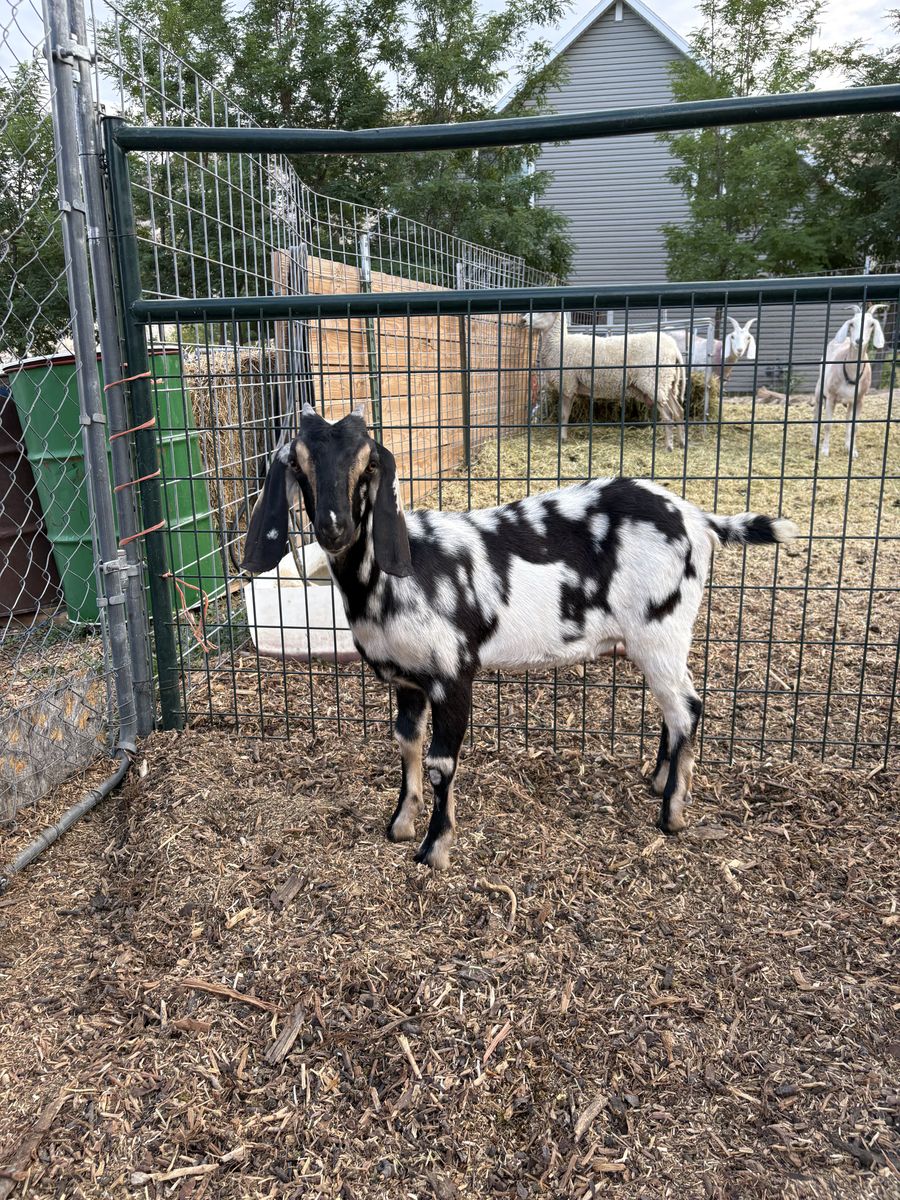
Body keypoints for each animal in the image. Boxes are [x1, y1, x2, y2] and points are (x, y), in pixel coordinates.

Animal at [242, 404, 799, 870]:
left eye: (368, 464)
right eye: (299, 465)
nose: (333, 528)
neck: (400, 570)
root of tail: (699, 520)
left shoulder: (453, 673)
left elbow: (442, 763)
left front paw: (435, 850)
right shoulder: (406, 680)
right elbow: (406, 744)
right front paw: (400, 824)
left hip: (662, 628)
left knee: (687, 707)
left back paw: (672, 814)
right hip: (654, 643)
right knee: (675, 706)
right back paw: (660, 781)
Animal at [522, 312, 686, 451]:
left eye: (544, 311)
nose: (523, 320)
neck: (558, 343)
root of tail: (675, 349)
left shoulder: (567, 384)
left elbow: (563, 414)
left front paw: (562, 438)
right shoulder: (572, 386)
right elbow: (565, 414)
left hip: (654, 381)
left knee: (668, 414)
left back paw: (669, 446)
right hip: (665, 383)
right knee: (679, 411)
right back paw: (682, 442)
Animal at [812, 305, 886, 458]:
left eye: (871, 324)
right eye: (852, 323)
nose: (858, 341)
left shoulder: (859, 399)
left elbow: (854, 426)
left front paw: (852, 451)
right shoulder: (831, 397)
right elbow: (828, 424)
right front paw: (825, 450)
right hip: (819, 390)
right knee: (816, 413)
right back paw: (815, 441)